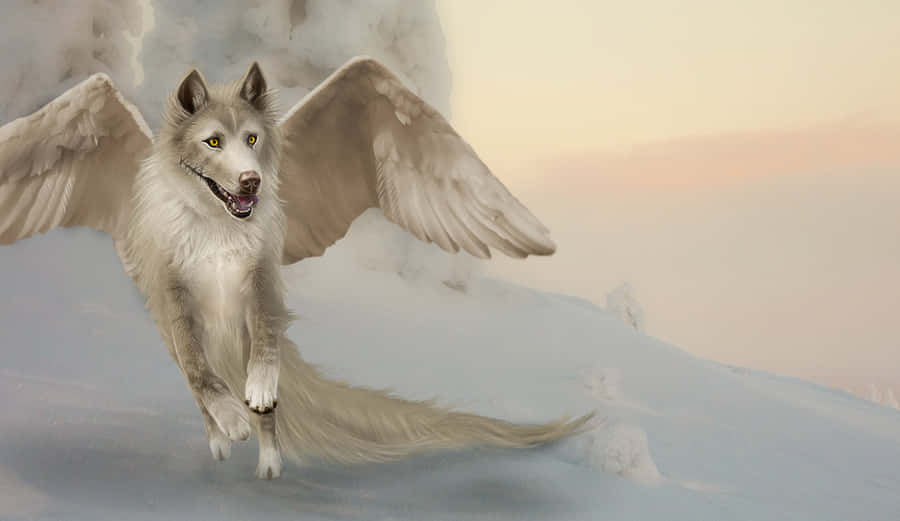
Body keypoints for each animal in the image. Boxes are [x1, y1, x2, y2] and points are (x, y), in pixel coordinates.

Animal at [0, 57, 594, 479]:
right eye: (212, 141)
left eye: (253, 139)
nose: (252, 182)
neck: (218, 228)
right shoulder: (171, 287)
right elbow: (198, 374)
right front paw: (228, 421)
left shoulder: (262, 274)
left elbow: (265, 350)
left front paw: (256, 404)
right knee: (196, 380)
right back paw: (222, 438)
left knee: (264, 396)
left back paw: (267, 459)